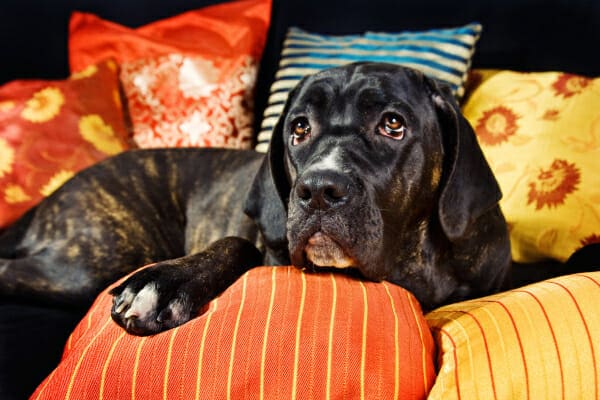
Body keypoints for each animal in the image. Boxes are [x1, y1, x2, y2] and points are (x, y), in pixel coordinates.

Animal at [2, 63, 512, 338]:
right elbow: (238, 243)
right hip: (90, 262)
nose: (318, 190)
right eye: (299, 128)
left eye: (392, 124)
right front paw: (167, 282)